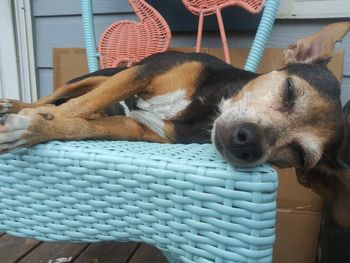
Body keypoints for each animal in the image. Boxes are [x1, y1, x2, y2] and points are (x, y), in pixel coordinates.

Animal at [0, 22, 350, 229]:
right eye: (289, 90)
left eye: (299, 155)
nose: (247, 143)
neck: (205, 107)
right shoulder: (142, 73)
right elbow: (77, 106)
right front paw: (34, 119)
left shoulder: (138, 129)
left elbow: (79, 125)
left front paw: (37, 128)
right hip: (98, 76)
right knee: (57, 96)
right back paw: (19, 105)